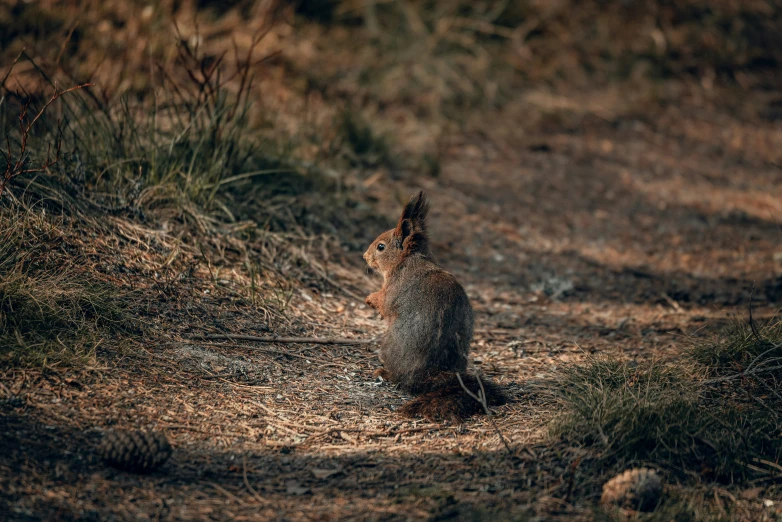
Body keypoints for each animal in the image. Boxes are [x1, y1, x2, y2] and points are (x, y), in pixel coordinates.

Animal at [362, 190, 506, 418]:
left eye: (381, 247)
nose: (365, 256)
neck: (407, 261)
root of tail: (429, 373)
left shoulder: (392, 290)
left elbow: (383, 302)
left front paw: (370, 298)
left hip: (389, 347)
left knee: (400, 379)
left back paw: (384, 372)